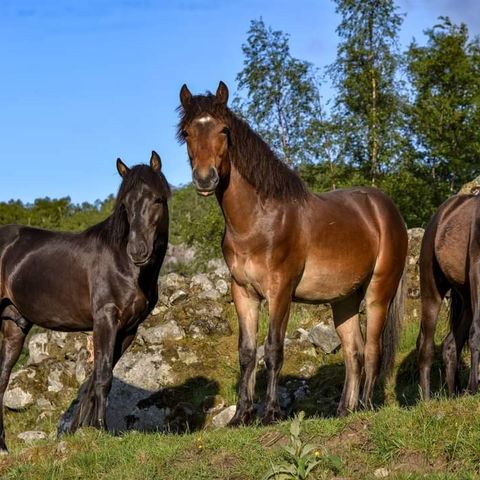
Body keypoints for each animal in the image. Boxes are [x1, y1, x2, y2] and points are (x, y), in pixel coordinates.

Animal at [0, 152, 171, 452]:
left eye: (157, 199)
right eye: (125, 204)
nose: (138, 251)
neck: (123, 263)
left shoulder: (128, 329)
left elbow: (96, 377)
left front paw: (77, 428)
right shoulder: (105, 320)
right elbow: (102, 377)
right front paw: (101, 429)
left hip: (14, 326)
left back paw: (2, 447)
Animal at [178, 81, 406, 424]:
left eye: (224, 129)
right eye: (188, 132)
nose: (206, 179)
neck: (257, 220)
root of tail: (386, 210)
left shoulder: (280, 290)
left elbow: (273, 349)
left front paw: (270, 413)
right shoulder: (243, 292)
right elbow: (247, 353)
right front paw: (240, 415)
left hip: (378, 292)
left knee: (372, 350)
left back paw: (365, 406)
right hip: (344, 300)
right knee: (353, 352)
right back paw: (344, 410)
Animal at [416, 189, 480, 400]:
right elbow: (477, 332)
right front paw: (473, 388)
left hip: (467, 299)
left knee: (451, 345)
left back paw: (454, 395)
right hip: (432, 290)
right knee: (426, 346)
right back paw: (426, 399)